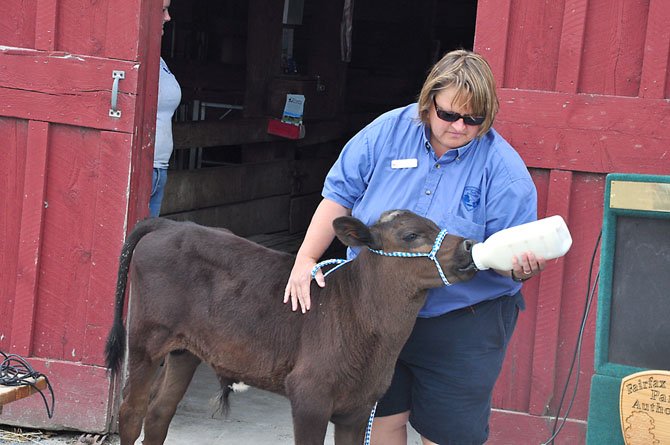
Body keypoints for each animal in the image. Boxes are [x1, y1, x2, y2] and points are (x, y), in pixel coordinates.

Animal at [105, 209, 480, 444]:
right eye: (411, 235)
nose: (469, 245)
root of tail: (170, 225)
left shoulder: (359, 408)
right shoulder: (309, 395)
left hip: (185, 350)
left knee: (158, 414)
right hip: (145, 341)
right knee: (131, 412)